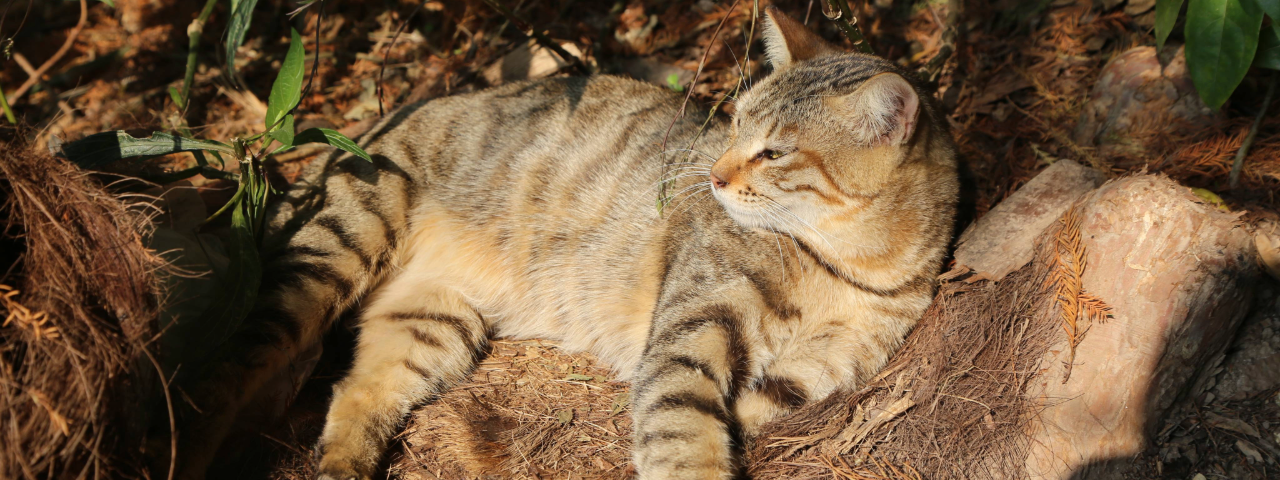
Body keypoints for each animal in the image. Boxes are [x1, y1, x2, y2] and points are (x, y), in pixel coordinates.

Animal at [170, 7, 957, 480]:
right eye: (733, 124)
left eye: (775, 152)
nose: (713, 174)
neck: (847, 265)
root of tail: (366, 130)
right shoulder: (686, 338)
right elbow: (684, 437)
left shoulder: (817, 372)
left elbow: (731, 418)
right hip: (332, 252)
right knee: (224, 375)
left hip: (431, 323)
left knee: (355, 390)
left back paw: (343, 463)